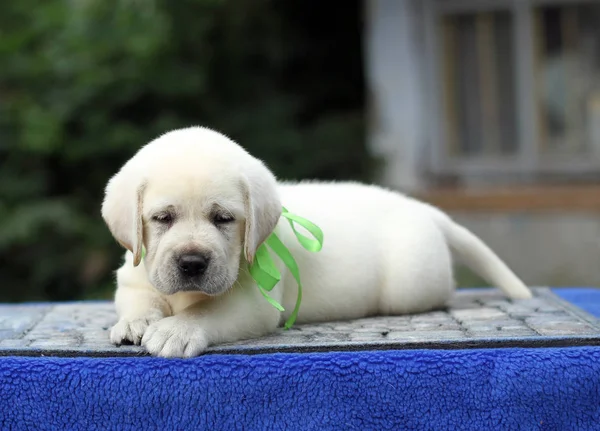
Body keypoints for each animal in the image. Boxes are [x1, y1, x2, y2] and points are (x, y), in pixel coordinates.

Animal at [102, 126, 528, 360]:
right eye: (162, 218)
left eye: (223, 218)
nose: (192, 263)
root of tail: (421, 207)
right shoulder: (135, 276)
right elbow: (140, 298)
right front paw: (137, 321)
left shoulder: (253, 301)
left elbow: (207, 312)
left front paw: (176, 330)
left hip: (410, 285)